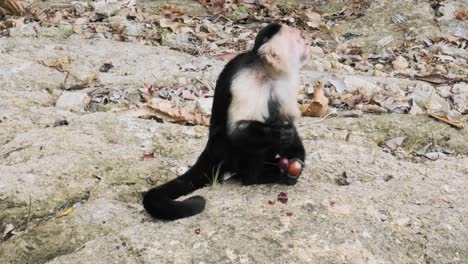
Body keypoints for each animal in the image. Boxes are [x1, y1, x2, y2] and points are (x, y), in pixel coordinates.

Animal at [143, 23, 310, 221]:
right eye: (299, 39)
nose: (307, 43)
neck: (266, 71)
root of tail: (210, 150)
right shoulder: (247, 80)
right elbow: (237, 132)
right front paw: (278, 133)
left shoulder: (285, 82)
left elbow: (288, 120)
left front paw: (296, 158)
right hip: (225, 151)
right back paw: (258, 177)